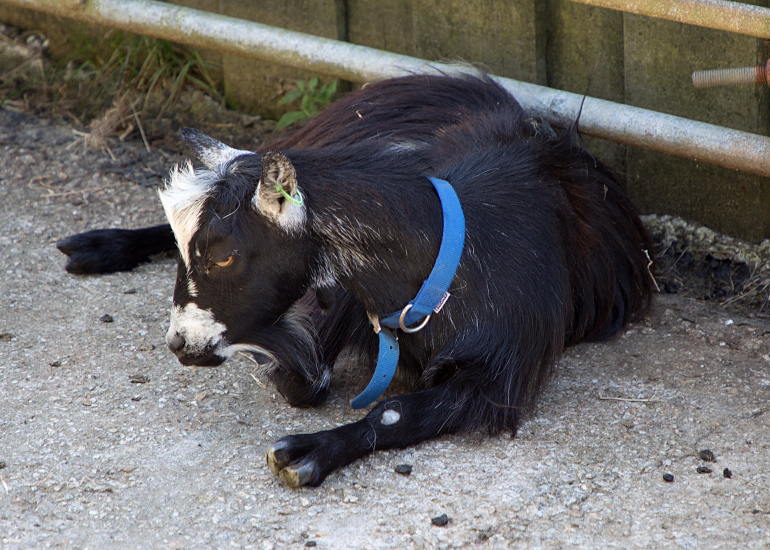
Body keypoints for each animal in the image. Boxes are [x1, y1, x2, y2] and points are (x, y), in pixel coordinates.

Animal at [57, 72, 655, 488]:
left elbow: (394, 409)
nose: (180, 344)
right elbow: (304, 380)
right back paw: (99, 245)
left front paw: (308, 452)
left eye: (223, 256)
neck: (449, 262)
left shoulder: (498, 375)